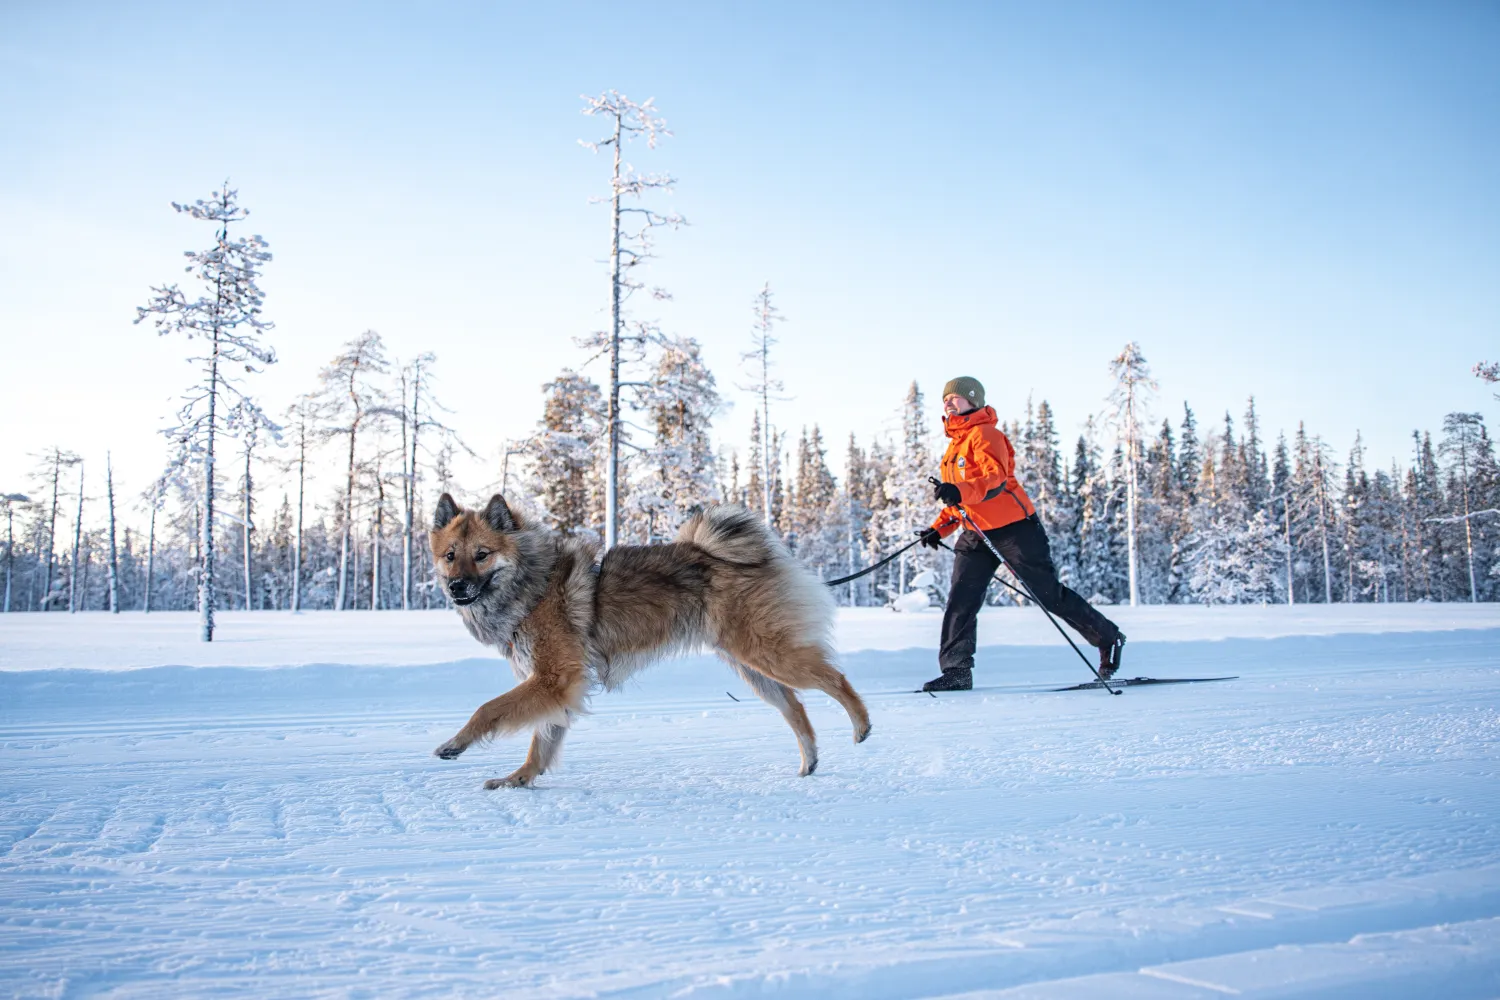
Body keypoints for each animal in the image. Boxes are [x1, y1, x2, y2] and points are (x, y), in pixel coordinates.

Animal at [426, 497, 870, 785]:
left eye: (482, 554)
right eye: (450, 555)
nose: (457, 587)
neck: (533, 585)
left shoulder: (554, 677)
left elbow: (488, 710)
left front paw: (455, 744)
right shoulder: (558, 687)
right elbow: (543, 742)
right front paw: (518, 779)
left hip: (767, 653)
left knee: (835, 679)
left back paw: (861, 723)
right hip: (750, 666)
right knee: (795, 707)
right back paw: (809, 761)